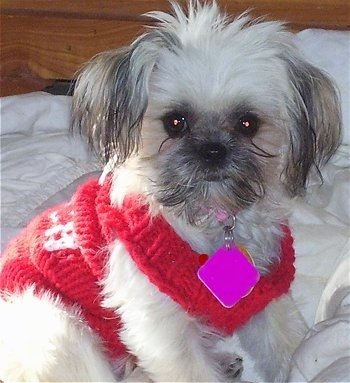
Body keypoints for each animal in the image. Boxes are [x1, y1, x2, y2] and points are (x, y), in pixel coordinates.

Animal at [0, 1, 342, 382]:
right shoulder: (163, 328)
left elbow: (288, 350)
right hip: (57, 327)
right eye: (175, 122)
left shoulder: (266, 299)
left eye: (248, 123)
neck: (212, 218)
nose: (212, 150)